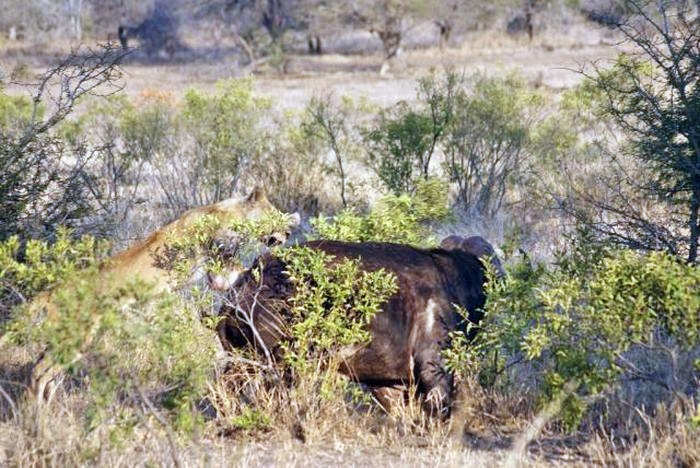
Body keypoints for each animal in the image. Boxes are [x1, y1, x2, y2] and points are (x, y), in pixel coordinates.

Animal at [216, 236, 500, 414]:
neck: (455, 279)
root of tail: (249, 283)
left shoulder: (388, 384)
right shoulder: (436, 368)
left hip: (243, 359)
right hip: (281, 362)